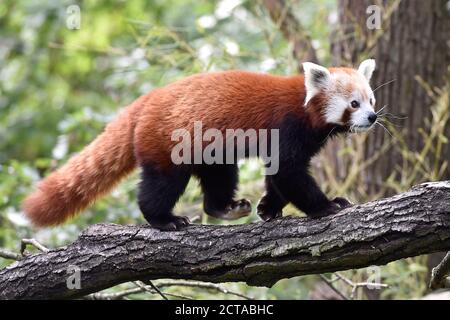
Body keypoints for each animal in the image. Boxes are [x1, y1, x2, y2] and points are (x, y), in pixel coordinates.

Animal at [22, 59, 378, 230]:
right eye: (354, 104)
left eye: (372, 100)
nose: (373, 117)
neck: (306, 108)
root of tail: (146, 100)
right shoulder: (287, 126)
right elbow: (288, 173)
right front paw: (327, 206)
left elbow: (279, 177)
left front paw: (268, 208)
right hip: (169, 143)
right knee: (162, 184)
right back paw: (164, 220)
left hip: (211, 149)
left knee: (220, 176)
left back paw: (224, 208)